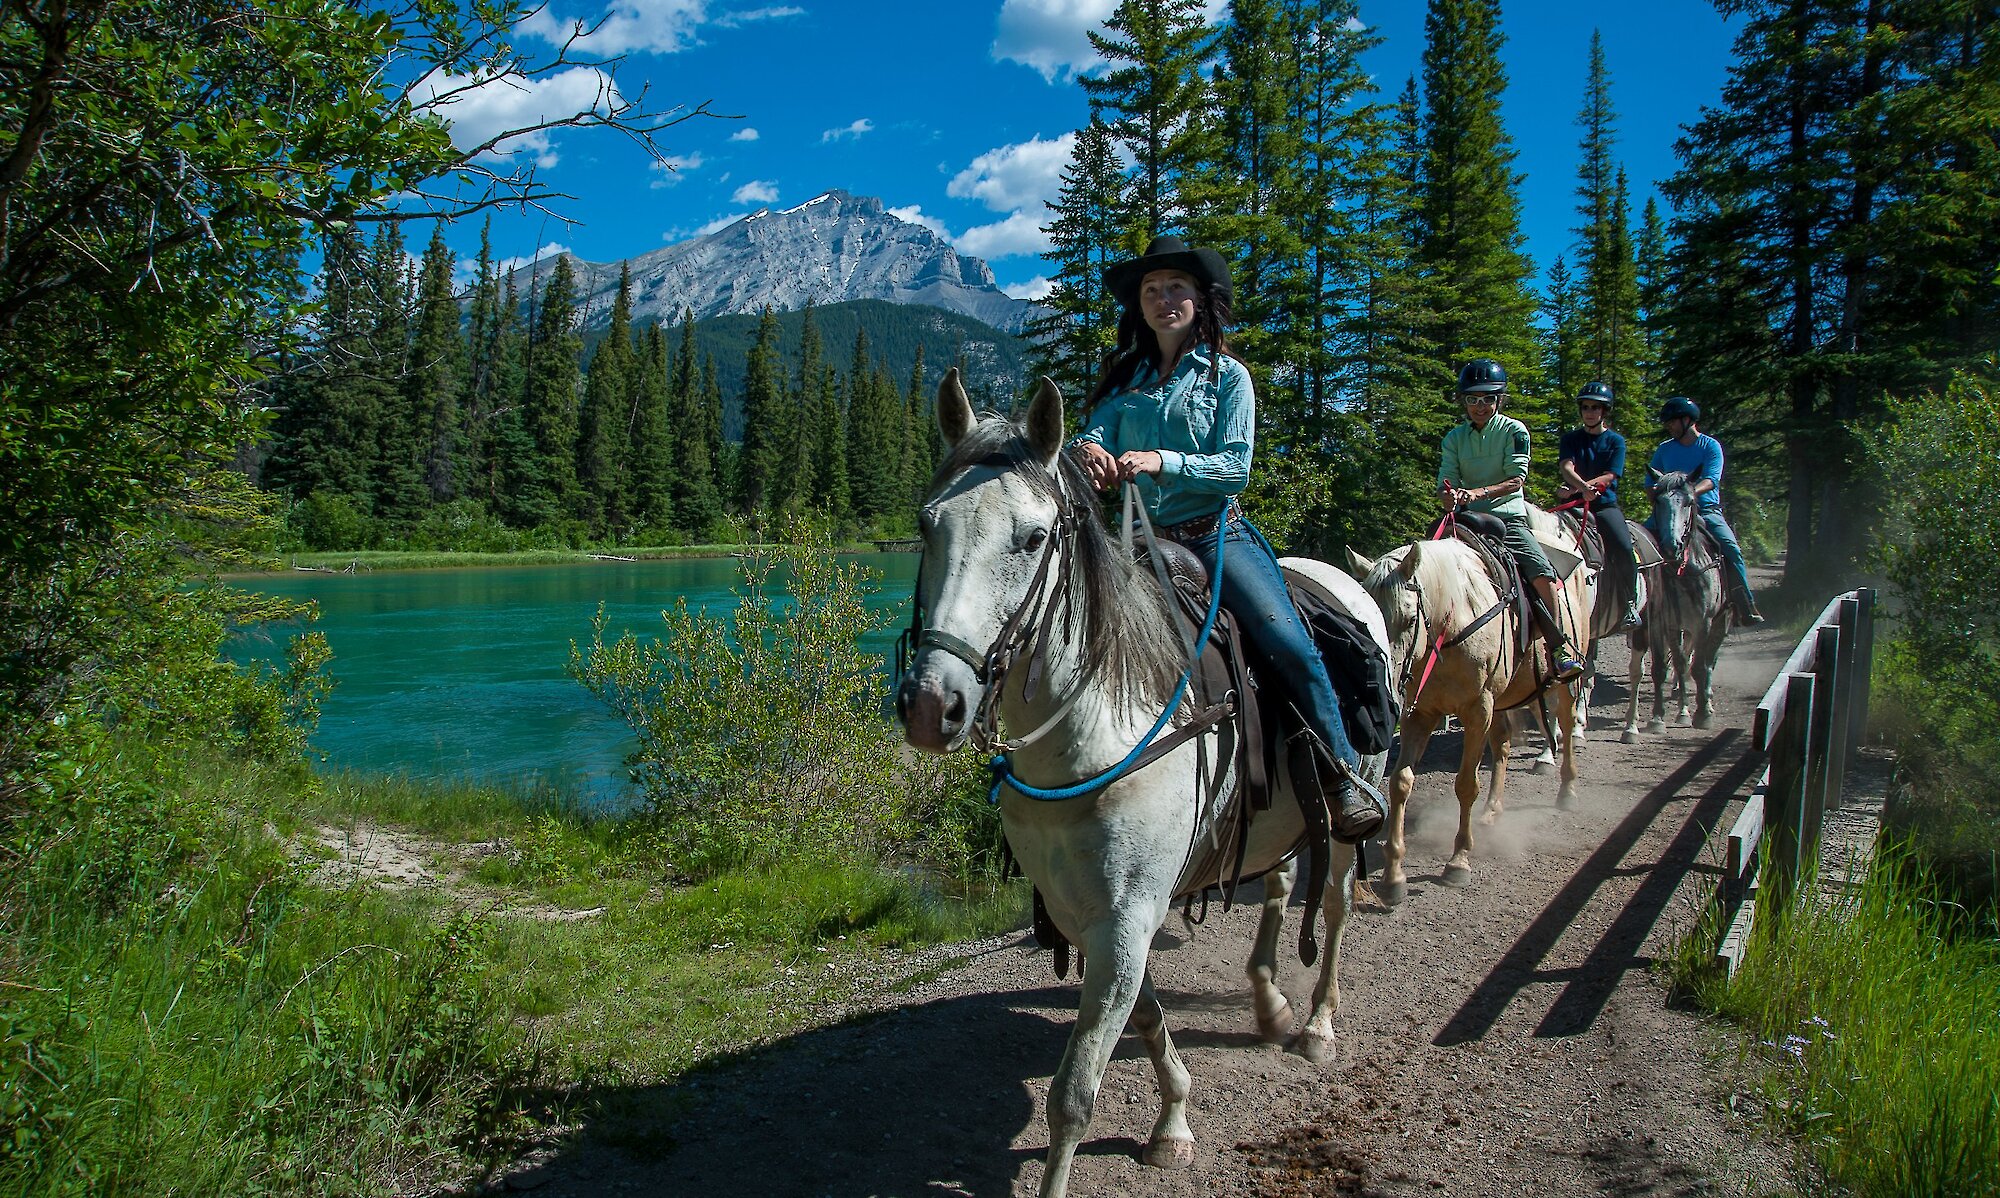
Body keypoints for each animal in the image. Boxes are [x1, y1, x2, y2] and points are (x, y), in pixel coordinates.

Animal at [896, 370, 1392, 1192]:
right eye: (927, 526)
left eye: (1032, 538)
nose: (935, 705)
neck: (1094, 735)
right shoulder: (1093, 915)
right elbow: (1148, 1019)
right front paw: (1174, 1122)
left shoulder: (1127, 917)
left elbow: (1074, 1093)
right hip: (1283, 818)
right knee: (1284, 884)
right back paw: (1269, 1005)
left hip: (1351, 814)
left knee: (1338, 903)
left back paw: (1318, 1024)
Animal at [1344, 510, 1592, 904]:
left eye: (1410, 619)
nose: (1385, 690)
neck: (1452, 622)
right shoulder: (1420, 713)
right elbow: (1400, 782)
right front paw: (1395, 875)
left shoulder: (1477, 710)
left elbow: (1465, 784)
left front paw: (1458, 861)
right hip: (1502, 701)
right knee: (1503, 743)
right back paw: (1491, 812)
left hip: (1563, 682)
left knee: (1566, 727)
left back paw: (1567, 792)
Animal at [1616, 472, 1728, 736]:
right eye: (1658, 501)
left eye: (1689, 502)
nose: (1671, 545)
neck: (1685, 571)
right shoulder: (1665, 624)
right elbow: (1668, 666)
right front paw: (1665, 716)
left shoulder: (1703, 623)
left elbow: (1699, 667)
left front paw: (1702, 714)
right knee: (1682, 660)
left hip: (1720, 623)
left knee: (1709, 661)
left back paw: (1705, 701)